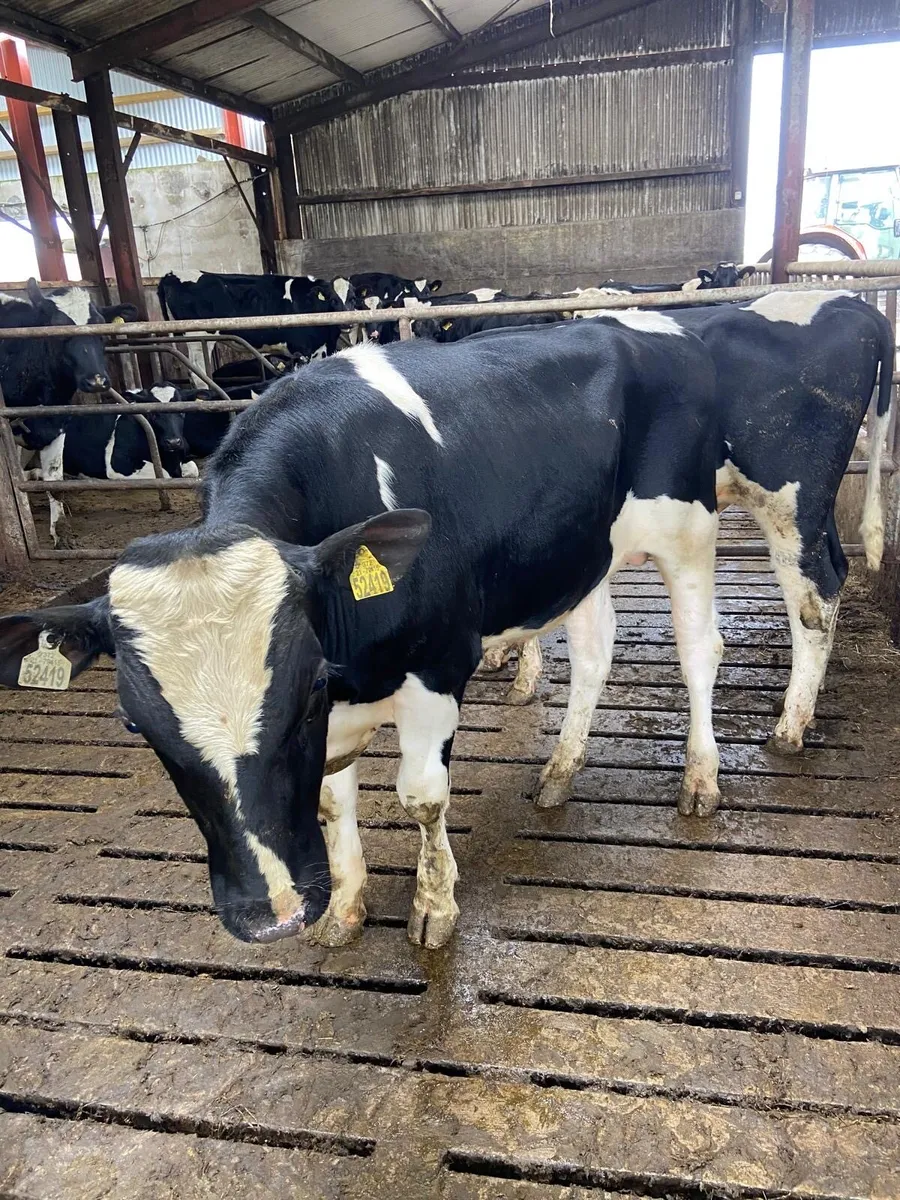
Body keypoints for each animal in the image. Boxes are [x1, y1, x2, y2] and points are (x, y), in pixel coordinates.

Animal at [0, 314, 723, 950]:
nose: (272, 916)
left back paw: (700, 781)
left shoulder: (437, 667)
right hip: (581, 557)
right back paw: (560, 772)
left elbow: (422, 798)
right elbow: (326, 796)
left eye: (308, 687)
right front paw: (344, 908)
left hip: (688, 534)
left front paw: (434, 907)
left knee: (698, 653)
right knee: (596, 652)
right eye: (132, 723)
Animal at [1, 280, 136, 544]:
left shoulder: (57, 426)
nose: (96, 381)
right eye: (57, 331)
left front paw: (61, 533)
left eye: (101, 329)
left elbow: (55, 482)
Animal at [157, 271, 352, 361]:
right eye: (332, 300)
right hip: (197, 339)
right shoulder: (302, 348)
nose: (347, 323)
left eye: (352, 298)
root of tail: (171, 275)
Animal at [502, 291, 894, 760]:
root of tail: (846, 300)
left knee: (815, 593)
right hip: (813, 508)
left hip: (788, 498)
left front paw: (520, 674)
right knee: (834, 571)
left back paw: (789, 727)